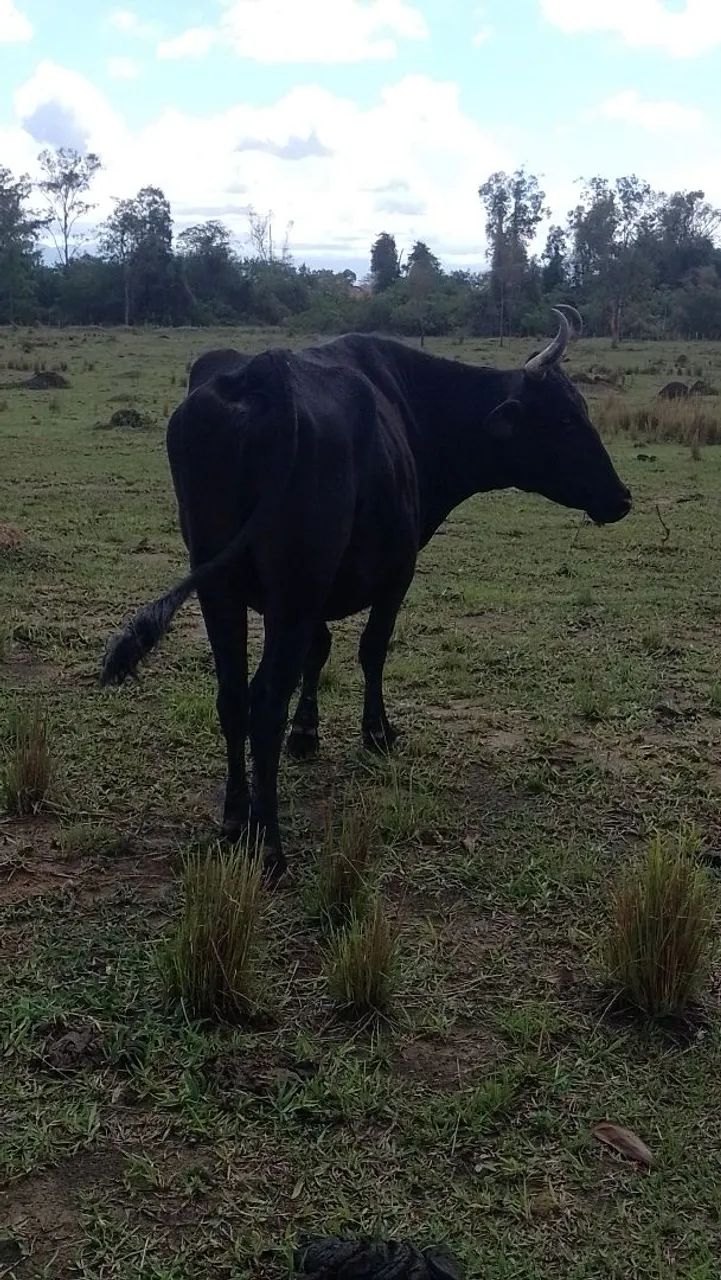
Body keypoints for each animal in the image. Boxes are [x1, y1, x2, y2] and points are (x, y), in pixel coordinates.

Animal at [101, 308, 631, 878]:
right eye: (565, 420)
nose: (621, 497)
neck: (415, 411)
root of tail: (266, 376)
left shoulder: (311, 597)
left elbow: (319, 653)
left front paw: (307, 734)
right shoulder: (395, 572)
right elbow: (371, 649)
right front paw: (377, 732)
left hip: (219, 587)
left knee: (232, 695)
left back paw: (235, 817)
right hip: (292, 592)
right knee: (264, 701)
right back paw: (270, 844)